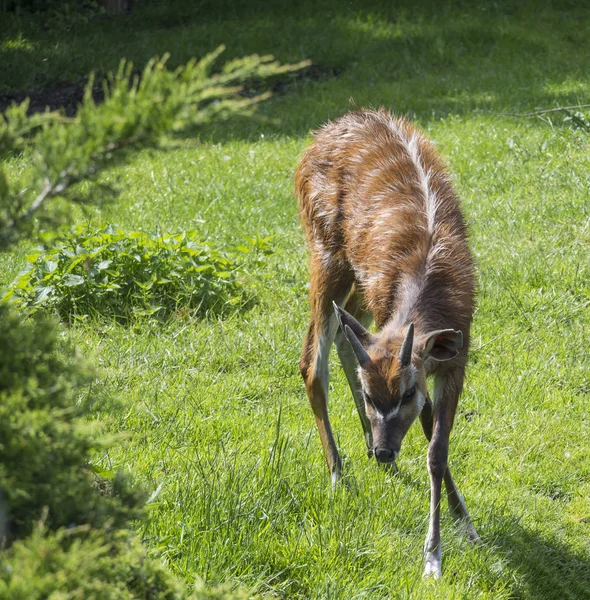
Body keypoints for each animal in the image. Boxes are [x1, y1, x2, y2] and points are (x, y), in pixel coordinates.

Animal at [298, 109, 484, 580]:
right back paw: (339, 474)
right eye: (369, 395)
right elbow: (433, 439)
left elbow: (437, 449)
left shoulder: (454, 358)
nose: (384, 452)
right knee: (312, 361)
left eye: (406, 392)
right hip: (325, 251)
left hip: (357, 287)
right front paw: (433, 558)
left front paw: (466, 526)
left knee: (345, 334)